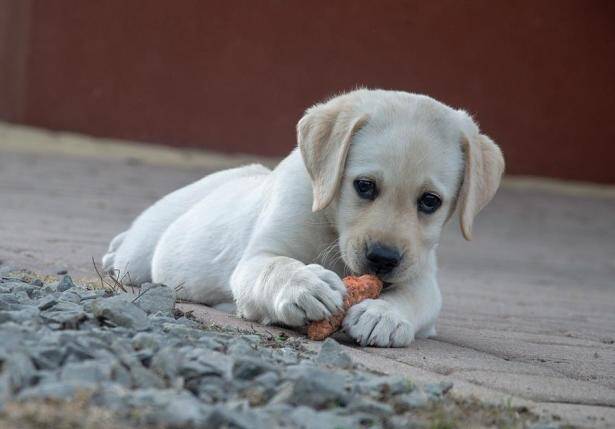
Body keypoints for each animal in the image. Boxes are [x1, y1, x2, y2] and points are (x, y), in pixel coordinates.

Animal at [102, 88, 506, 346]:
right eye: (364, 186)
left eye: (430, 202)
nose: (382, 259)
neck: (332, 226)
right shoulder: (256, 259)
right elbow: (276, 266)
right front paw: (305, 285)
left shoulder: (422, 274)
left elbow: (415, 297)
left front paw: (384, 315)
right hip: (140, 254)